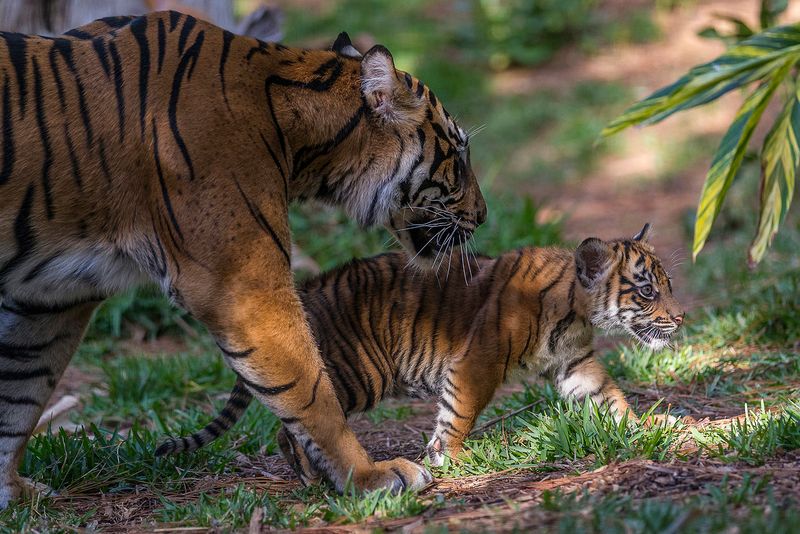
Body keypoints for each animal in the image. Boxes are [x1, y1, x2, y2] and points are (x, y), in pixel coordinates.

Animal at [0, 12, 487, 507]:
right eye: (458, 155)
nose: (483, 216)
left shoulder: (51, 297)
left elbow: (19, 394)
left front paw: (13, 493)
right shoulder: (242, 283)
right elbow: (312, 390)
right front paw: (370, 476)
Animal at [156, 223, 685, 484]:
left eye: (667, 284)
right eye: (646, 291)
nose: (680, 318)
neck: (576, 310)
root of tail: (306, 288)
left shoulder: (575, 363)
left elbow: (607, 396)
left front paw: (643, 424)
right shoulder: (478, 361)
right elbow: (460, 411)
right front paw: (450, 457)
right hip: (355, 374)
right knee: (297, 426)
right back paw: (313, 478)